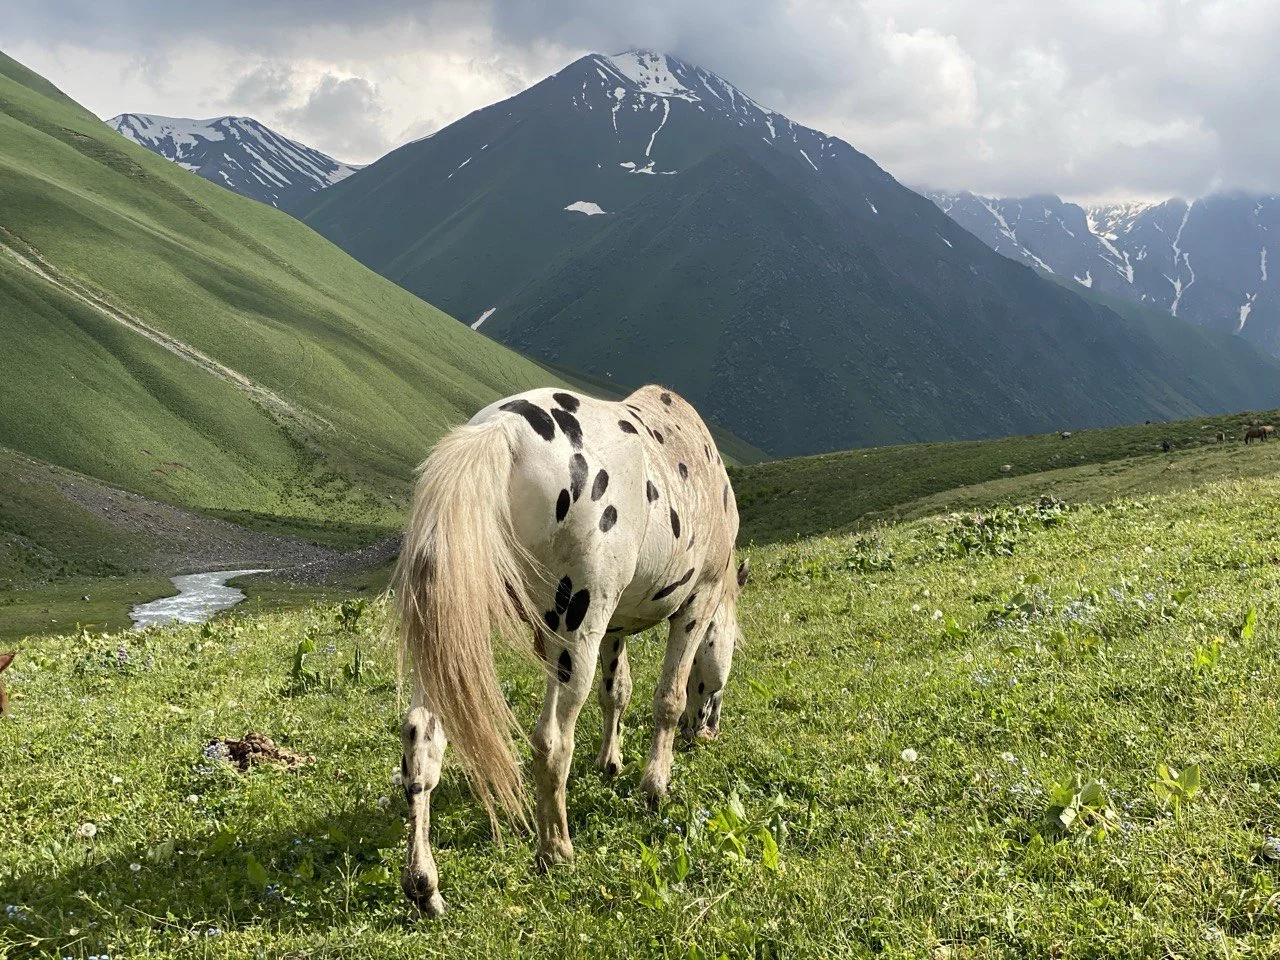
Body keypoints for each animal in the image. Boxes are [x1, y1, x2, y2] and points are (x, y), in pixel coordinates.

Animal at [391, 385, 747, 915]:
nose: (707, 732)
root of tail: (502, 432)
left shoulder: (613, 627)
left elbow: (616, 691)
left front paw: (610, 764)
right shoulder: (693, 607)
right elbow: (668, 698)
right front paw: (654, 787)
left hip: (451, 642)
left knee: (421, 741)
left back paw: (424, 885)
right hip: (575, 637)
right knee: (552, 741)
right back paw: (556, 851)